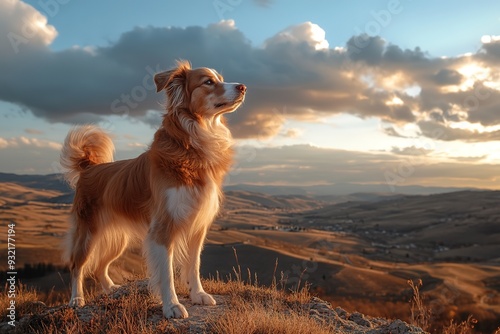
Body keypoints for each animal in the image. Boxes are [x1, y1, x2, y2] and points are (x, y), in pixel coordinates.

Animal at [60, 60, 246, 318]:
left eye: (220, 78)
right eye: (208, 82)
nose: (243, 87)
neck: (192, 141)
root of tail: (89, 167)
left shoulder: (198, 225)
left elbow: (193, 264)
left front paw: (198, 294)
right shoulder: (163, 226)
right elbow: (166, 273)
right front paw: (172, 306)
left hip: (118, 239)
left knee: (99, 266)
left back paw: (111, 289)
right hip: (88, 232)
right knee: (77, 265)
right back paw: (76, 299)